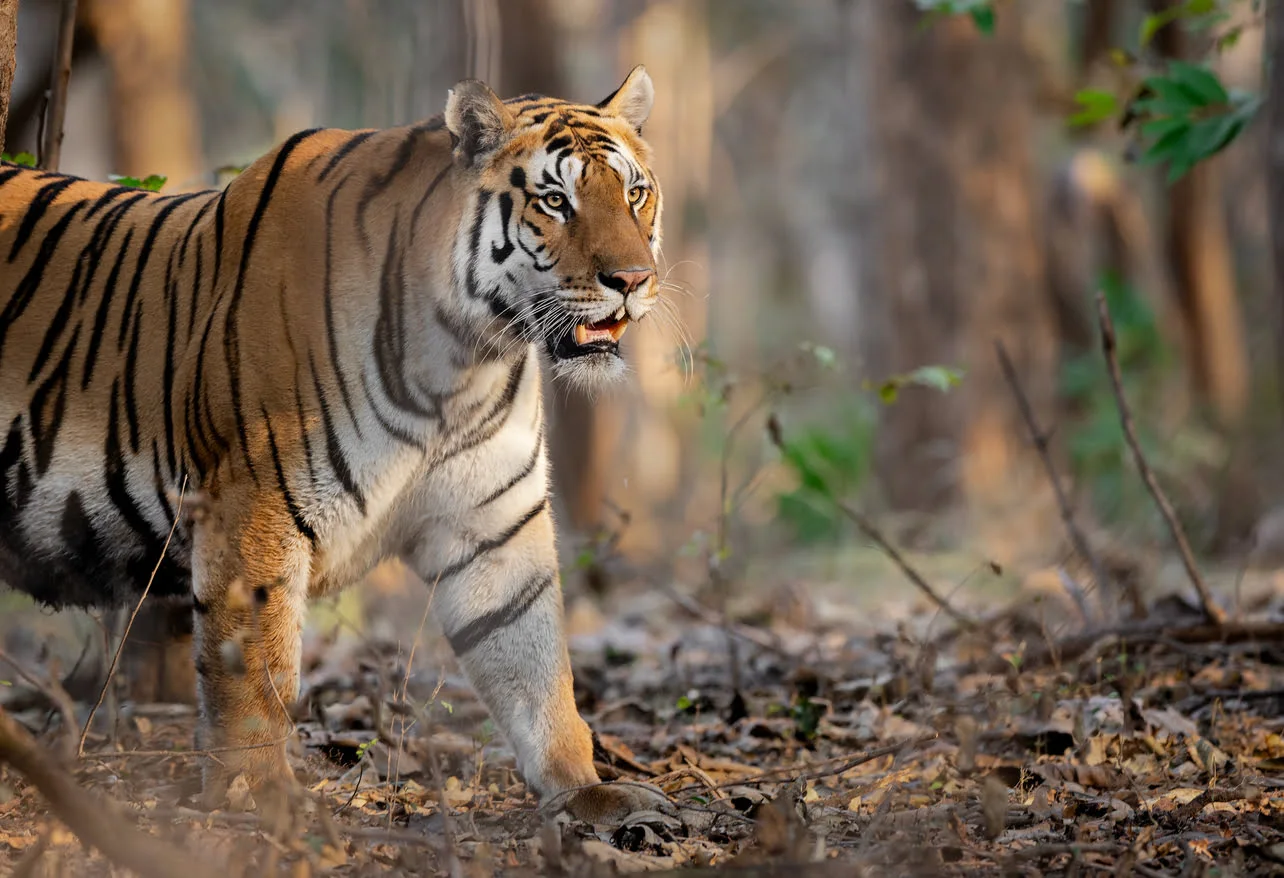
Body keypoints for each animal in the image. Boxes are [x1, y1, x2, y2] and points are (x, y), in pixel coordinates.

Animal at [2, 63, 672, 821]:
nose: (633, 281)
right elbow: (255, 671)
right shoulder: (253, 508)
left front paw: (587, 791)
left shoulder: (496, 524)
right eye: (556, 201)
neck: (465, 359)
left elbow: (535, 664)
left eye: (635, 193)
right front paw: (260, 799)